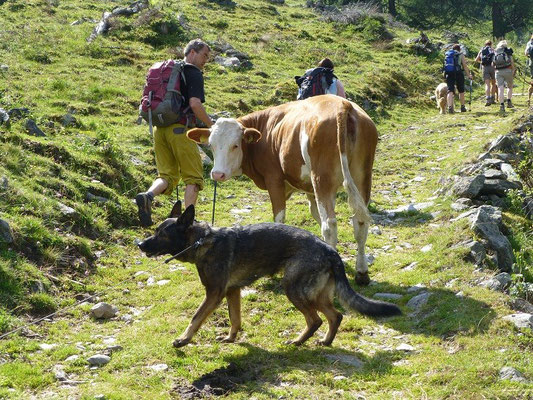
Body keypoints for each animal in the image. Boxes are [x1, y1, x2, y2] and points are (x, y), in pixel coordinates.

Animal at [137, 203, 400, 346]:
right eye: (155, 231)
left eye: (162, 234)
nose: (140, 244)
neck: (201, 241)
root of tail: (330, 250)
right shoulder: (232, 291)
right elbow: (235, 319)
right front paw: (231, 339)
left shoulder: (214, 294)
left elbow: (196, 318)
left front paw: (183, 340)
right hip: (316, 294)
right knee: (335, 316)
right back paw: (325, 341)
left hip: (293, 289)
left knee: (315, 319)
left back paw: (298, 341)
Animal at [187, 94, 378, 284]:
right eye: (211, 145)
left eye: (235, 145)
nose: (217, 174)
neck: (264, 131)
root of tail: (342, 105)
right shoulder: (309, 189)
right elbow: (315, 214)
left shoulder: (274, 180)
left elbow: (279, 218)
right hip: (361, 178)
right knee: (360, 221)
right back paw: (362, 272)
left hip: (322, 179)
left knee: (329, 225)